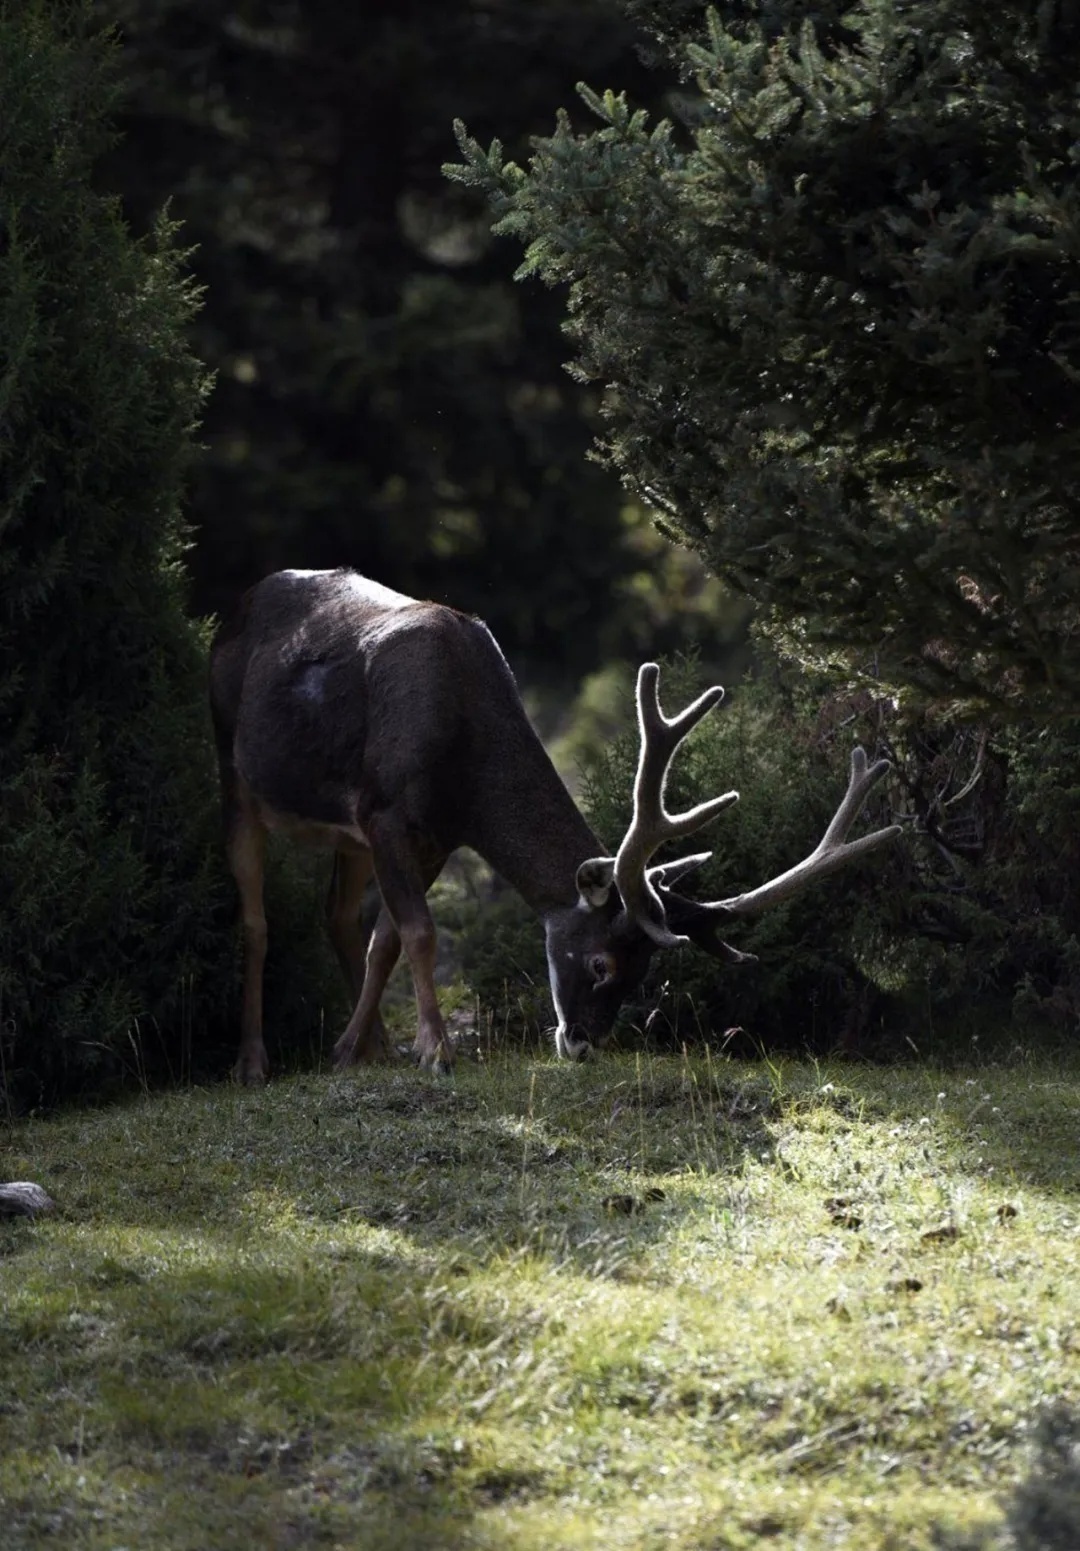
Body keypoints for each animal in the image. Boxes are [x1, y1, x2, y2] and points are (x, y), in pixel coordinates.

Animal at [206, 564, 900, 1085]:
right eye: (599, 964)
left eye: (646, 972)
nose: (584, 1044)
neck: (464, 753)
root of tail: (238, 604)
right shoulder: (386, 813)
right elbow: (422, 933)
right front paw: (436, 1051)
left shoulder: (431, 836)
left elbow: (389, 940)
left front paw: (357, 1050)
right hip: (232, 768)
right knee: (255, 920)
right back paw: (251, 1063)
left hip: (342, 834)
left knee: (336, 915)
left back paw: (362, 1041)